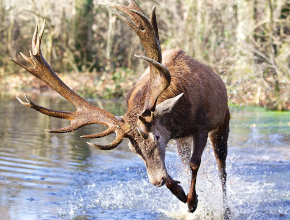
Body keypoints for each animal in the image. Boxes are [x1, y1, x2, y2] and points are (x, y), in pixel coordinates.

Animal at [10, 0, 230, 216]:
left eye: (157, 137)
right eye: (133, 149)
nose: (156, 181)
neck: (180, 118)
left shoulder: (202, 124)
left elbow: (195, 163)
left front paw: (192, 201)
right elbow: (176, 169)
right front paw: (181, 193)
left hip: (223, 121)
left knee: (221, 167)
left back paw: (225, 208)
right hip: (183, 140)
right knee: (188, 162)